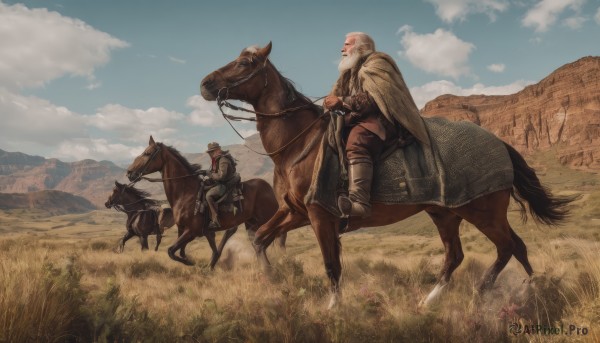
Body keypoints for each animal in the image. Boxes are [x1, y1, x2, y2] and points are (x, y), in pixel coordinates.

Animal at [125, 136, 284, 268]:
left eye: (147, 153)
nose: (129, 173)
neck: (185, 193)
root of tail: (269, 188)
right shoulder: (188, 230)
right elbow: (181, 251)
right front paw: (206, 264)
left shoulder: (192, 231)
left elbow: (171, 251)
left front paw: (192, 263)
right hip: (251, 223)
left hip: (266, 220)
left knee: (273, 239)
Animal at [202, 42, 576, 310]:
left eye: (246, 64)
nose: (206, 84)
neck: (297, 143)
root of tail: (500, 143)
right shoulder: (295, 212)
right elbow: (260, 239)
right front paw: (272, 279)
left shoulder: (319, 215)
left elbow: (331, 265)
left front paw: (333, 308)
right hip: (446, 213)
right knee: (466, 254)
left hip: (482, 211)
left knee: (507, 246)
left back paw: (490, 293)